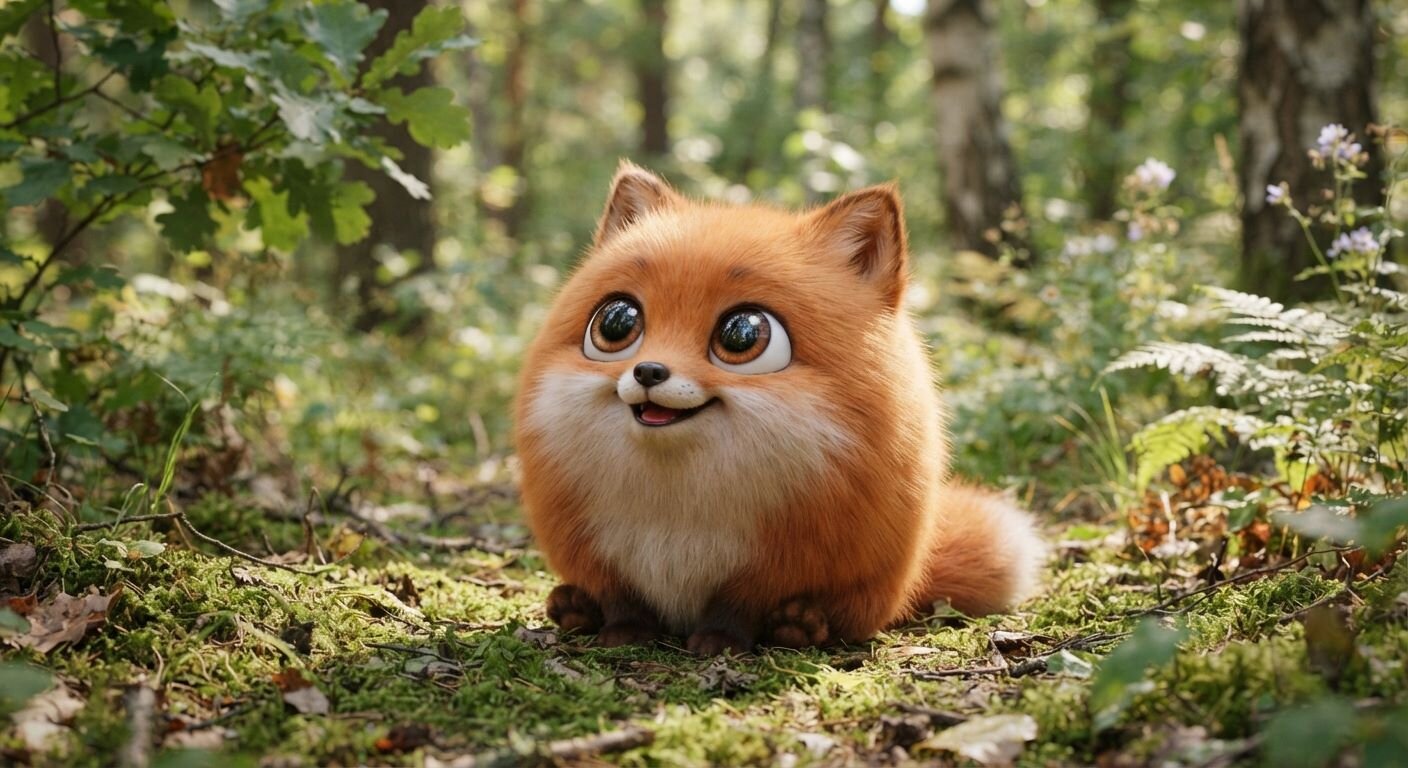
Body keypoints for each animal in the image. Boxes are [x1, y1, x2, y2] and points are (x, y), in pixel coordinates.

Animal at [514, 162, 1045, 654]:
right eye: (616, 324)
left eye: (742, 335)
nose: (648, 372)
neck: (675, 504)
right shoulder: (606, 558)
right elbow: (626, 605)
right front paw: (624, 633)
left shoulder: (770, 568)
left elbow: (735, 611)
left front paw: (721, 643)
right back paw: (576, 607)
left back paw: (800, 626)